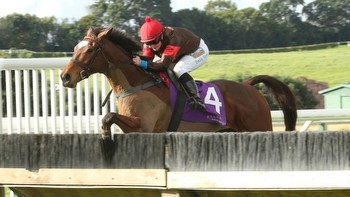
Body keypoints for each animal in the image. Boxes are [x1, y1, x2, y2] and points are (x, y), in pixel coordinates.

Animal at [60, 26, 298, 139]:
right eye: (75, 48)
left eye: (90, 50)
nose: (65, 77)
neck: (136, 84)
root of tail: (248, 87)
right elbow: (108, 118)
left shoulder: (144, 126)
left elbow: (109, 116)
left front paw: (105, 135)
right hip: (230, 131)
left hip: (260, 126)